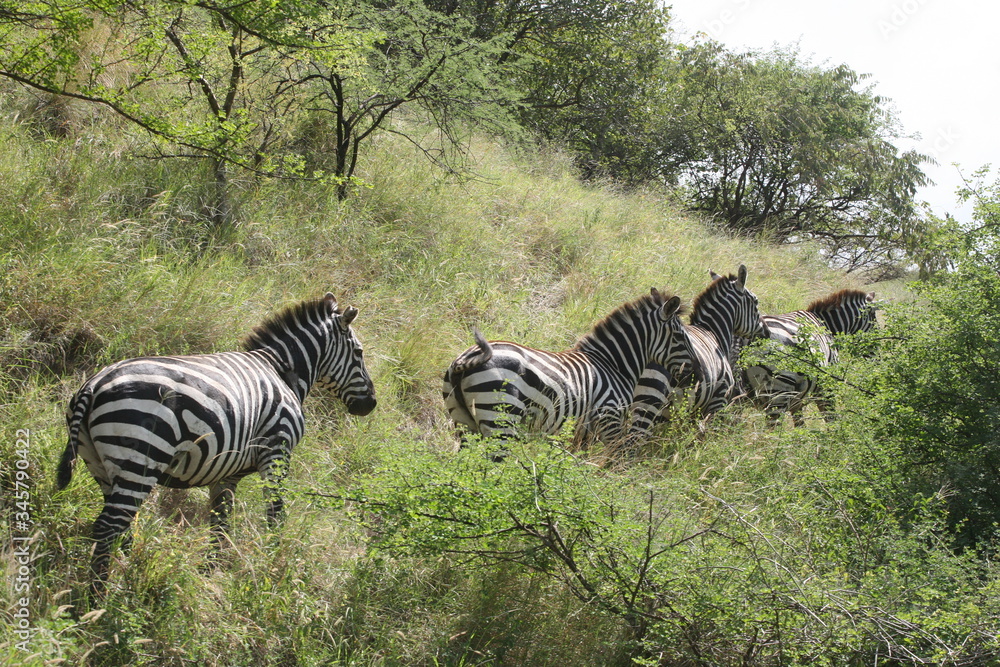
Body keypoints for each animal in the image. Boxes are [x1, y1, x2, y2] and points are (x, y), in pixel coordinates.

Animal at [58, 293, 376, 592]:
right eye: (359, 353)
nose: (370, 405)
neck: (281, 371)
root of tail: (94, 384)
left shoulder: (226, 471)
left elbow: (221, 520)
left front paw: (212, 571)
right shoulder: (277, 449)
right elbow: (275, 514)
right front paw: (272, 565)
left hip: (100, 465)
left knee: (119, 525)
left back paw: (123, 572)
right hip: (141, 460)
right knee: (108, 526)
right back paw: (99, 596)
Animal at [442, 288, 694, 453]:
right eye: (680, 336)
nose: (695, 374)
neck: (613, 364)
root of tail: (464, 360)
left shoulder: (584, 431)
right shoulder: (609, 417)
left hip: (465, 423)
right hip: (500, 419)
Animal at [737, 289, 877, 426]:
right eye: (874, 323)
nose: (877, 356)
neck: (826, 325)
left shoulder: (797, 401)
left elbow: (800, 426)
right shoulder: (826, 386)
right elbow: (831, 419)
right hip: (778, 391)